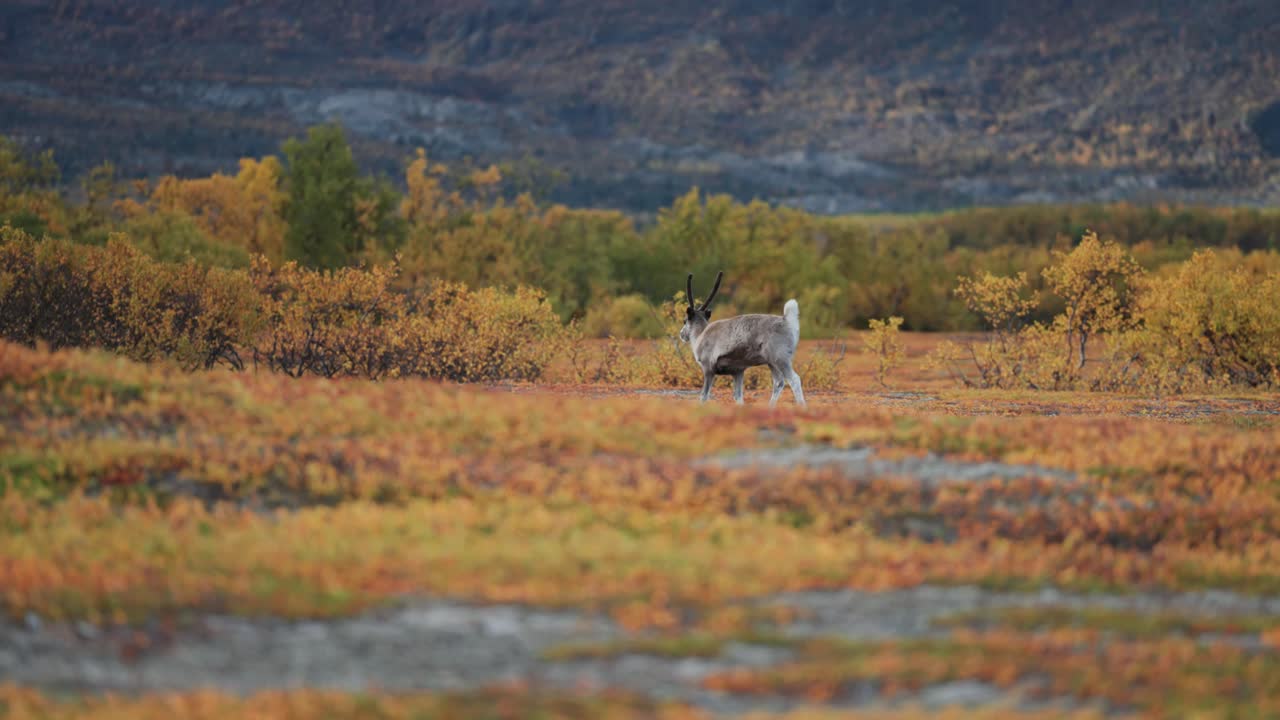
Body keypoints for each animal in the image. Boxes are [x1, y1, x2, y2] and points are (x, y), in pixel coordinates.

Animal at [679, 271, 806, 407]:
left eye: (684, 320)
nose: (681, 334)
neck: (700, 334)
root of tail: (787, 321)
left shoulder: (708, 368)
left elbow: (704, 396)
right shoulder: (738, 371)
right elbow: (738, 397)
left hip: (780, 358)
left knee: (794, 380)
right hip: (771, 362)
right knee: (779, 382)